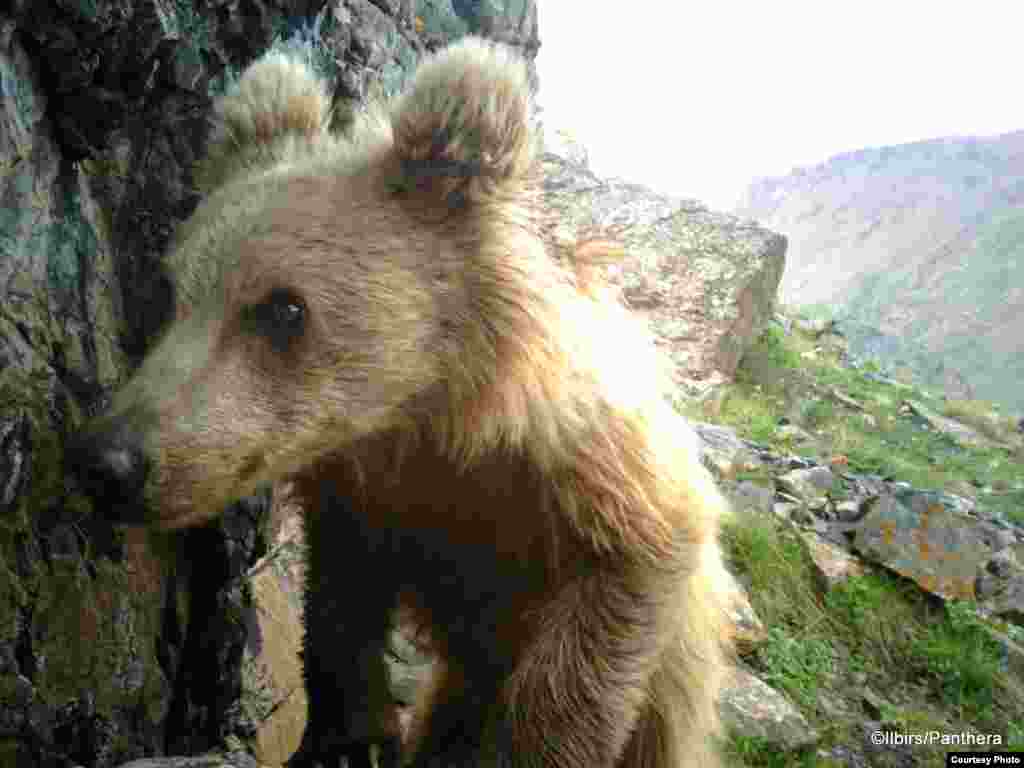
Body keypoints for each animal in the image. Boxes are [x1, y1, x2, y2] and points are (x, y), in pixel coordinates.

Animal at [68, 39, 733, 768]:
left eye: (283, 308)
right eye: (173, 290)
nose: (108, 460)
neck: (430, 418)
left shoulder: (599, 490)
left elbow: (594, 645)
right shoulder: (368, 493)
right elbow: (341, 598)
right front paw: (349, 736)